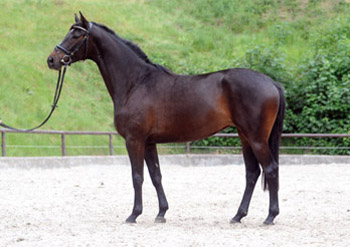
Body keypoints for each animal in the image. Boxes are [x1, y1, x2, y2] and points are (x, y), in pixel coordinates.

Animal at [47, 13, 286, 226]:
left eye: (76, 35)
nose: (52, 59)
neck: (136, 82)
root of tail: (272, 83)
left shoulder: (134, 140)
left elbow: (137, 176)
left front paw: (134, 214)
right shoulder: (149, 142)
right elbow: (156, 176)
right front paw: (161, 213)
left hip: (256, 138)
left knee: (271, 169)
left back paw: (270, 216)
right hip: (245, 137)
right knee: (252, 173)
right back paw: (238, 216)